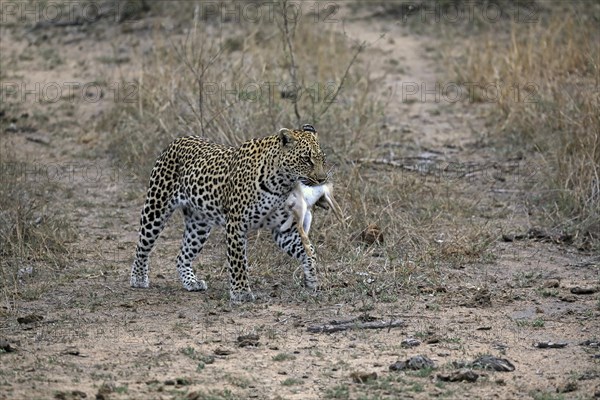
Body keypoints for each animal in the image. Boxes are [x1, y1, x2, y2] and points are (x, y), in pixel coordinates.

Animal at [129, 123, 330, 302]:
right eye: (306, 159)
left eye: (322, 159)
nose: (322, 179)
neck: (281, 183)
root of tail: (177, 140)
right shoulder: (236, 223)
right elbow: (238, 260)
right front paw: (241, 292)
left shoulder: (283, 229)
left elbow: (308, 249)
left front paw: (312, 279)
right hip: (156, 207)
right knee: (143, 245)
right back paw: (138, 278)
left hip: (199, 224)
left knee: (182, 255)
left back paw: (191, 282)